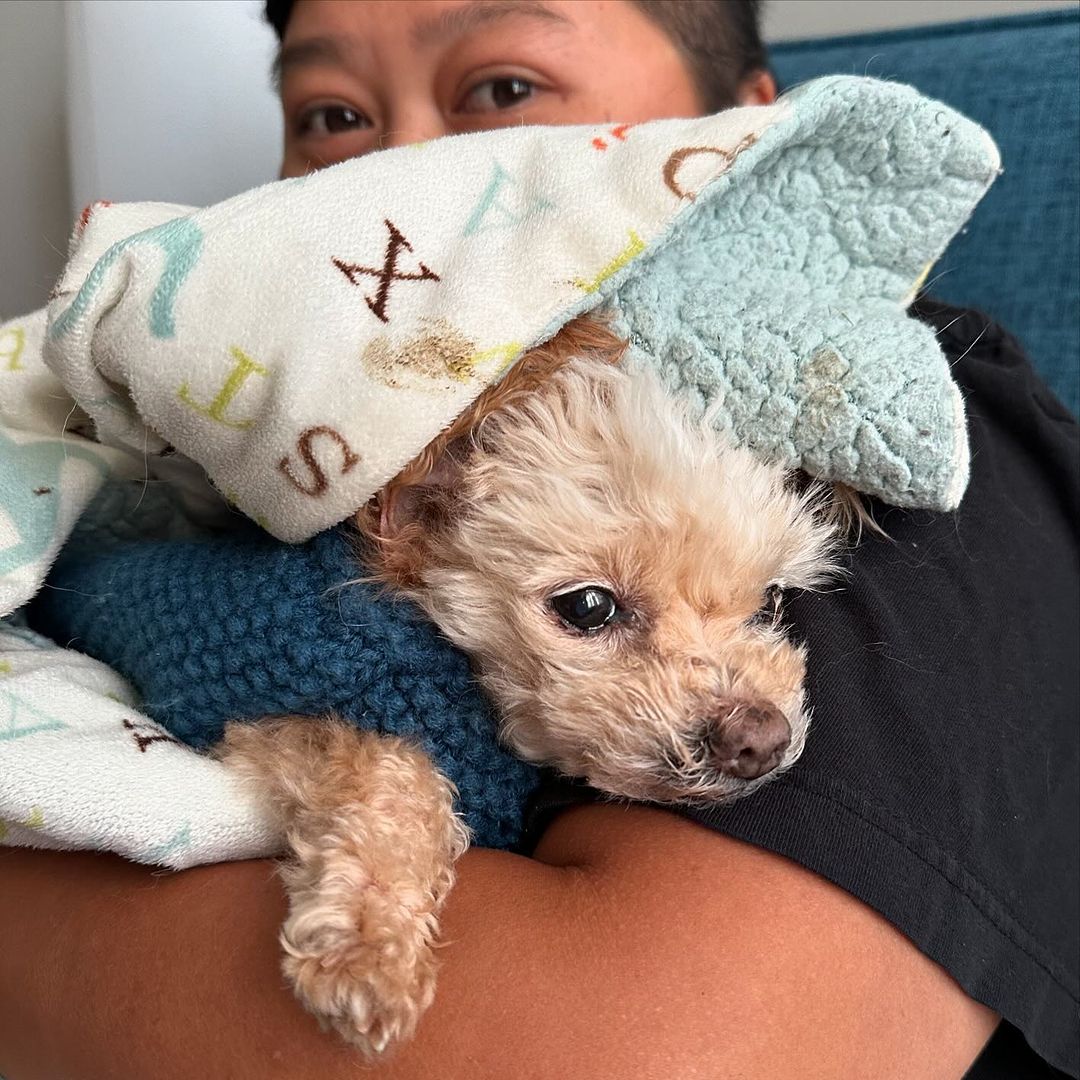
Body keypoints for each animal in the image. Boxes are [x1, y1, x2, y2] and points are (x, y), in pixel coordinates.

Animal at [221, 315, 842, 1054]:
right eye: (589, 606)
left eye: (771, 601)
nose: (761, 739)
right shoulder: (256, 712)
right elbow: (388, 769)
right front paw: (369, 950)